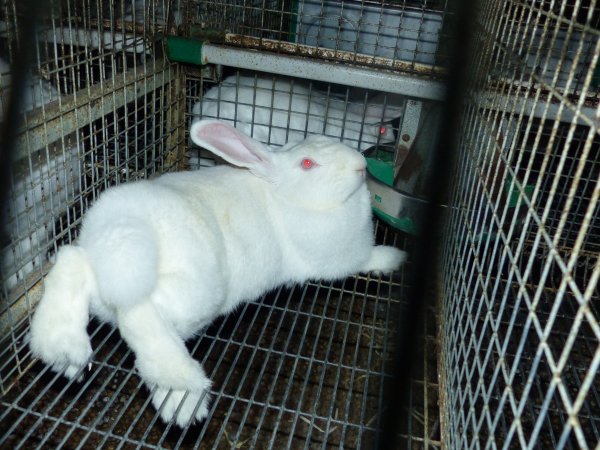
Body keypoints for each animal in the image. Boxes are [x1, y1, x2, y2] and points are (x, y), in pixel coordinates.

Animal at [30, 120, 410, 428]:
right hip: (191, 291)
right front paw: (395, 258)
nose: (361, 165)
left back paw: (61, 348)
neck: (282, 195)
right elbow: (368, 258)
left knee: (71, 262)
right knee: (140, 315)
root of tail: (122, 225)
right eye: (307, 164)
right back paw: (183, 397)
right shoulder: (342, 259)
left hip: (104, 267)